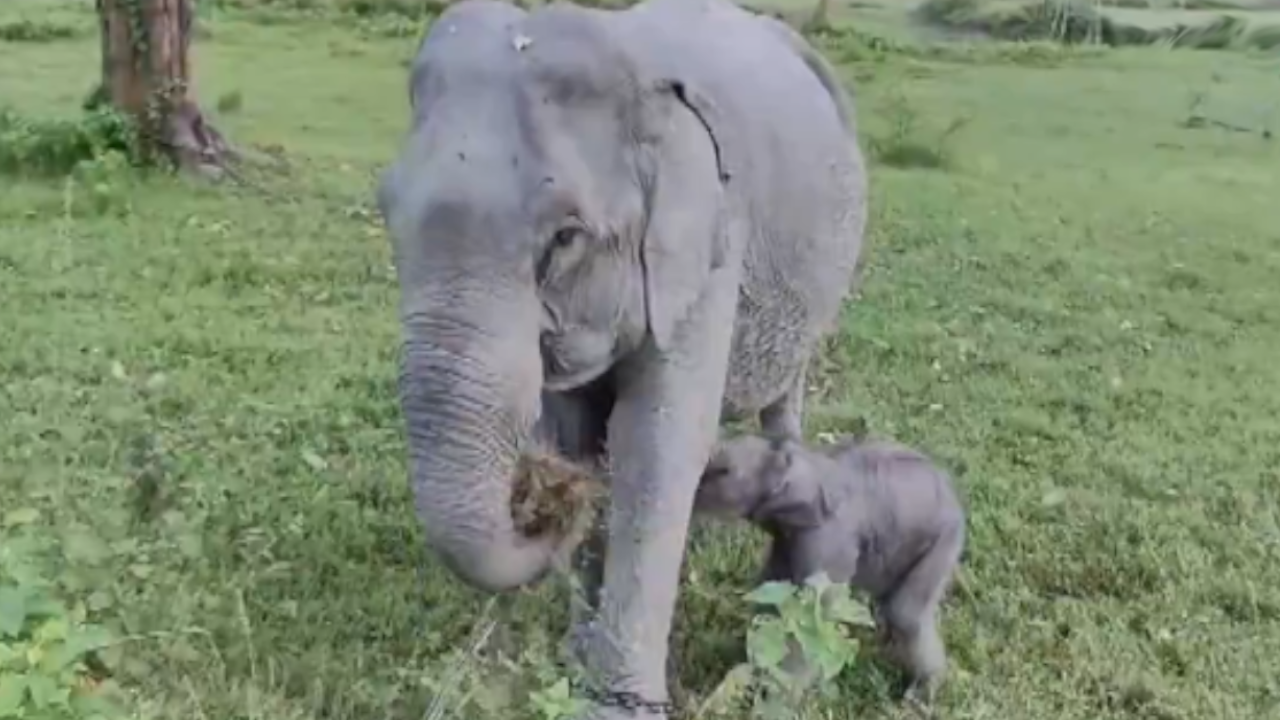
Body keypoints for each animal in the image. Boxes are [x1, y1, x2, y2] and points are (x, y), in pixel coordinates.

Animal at [375, 0, 867, 716]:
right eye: (384, 209)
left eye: (566, 237)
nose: (540, 510)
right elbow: (580, 432)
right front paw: (575, 653)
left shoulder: (710, 248)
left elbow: (653, 447)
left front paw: (617, 702)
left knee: (789, 386)